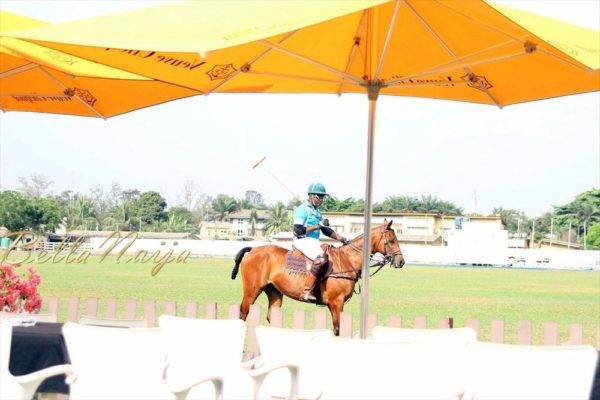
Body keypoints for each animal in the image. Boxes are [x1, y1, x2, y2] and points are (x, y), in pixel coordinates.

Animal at [232, 219, 406, 334]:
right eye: (391, 240)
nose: (401, 261)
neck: (347, 260)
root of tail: (252, 250)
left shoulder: (334, 304)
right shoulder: (337, 302)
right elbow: (337, 329)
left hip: (274, 292)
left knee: (271, 317)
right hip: (252, 291)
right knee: (242, 314)